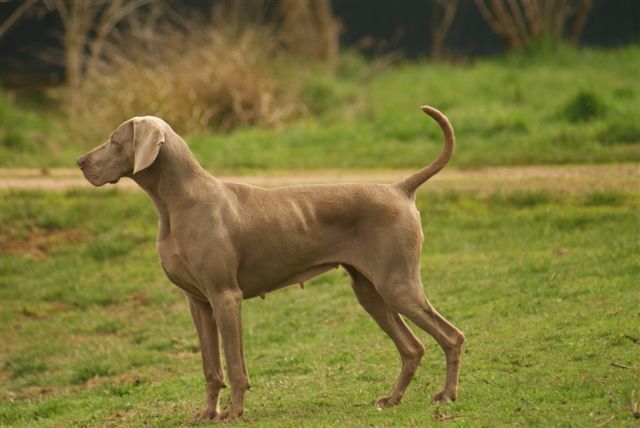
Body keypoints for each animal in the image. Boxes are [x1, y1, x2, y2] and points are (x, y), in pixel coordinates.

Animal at [77, 106, 464, 421]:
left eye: (114, 140)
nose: (80, 162)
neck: (179, 202)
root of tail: (400, 188)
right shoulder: (198, 303)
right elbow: (210, 367)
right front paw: (208, 413)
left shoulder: (225, 297)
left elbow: (234, 365)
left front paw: (234, 413)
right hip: (370, 292)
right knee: (412, 347)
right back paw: (392, 399)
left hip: (397, 285)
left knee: (451, 336)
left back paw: (446, 395)